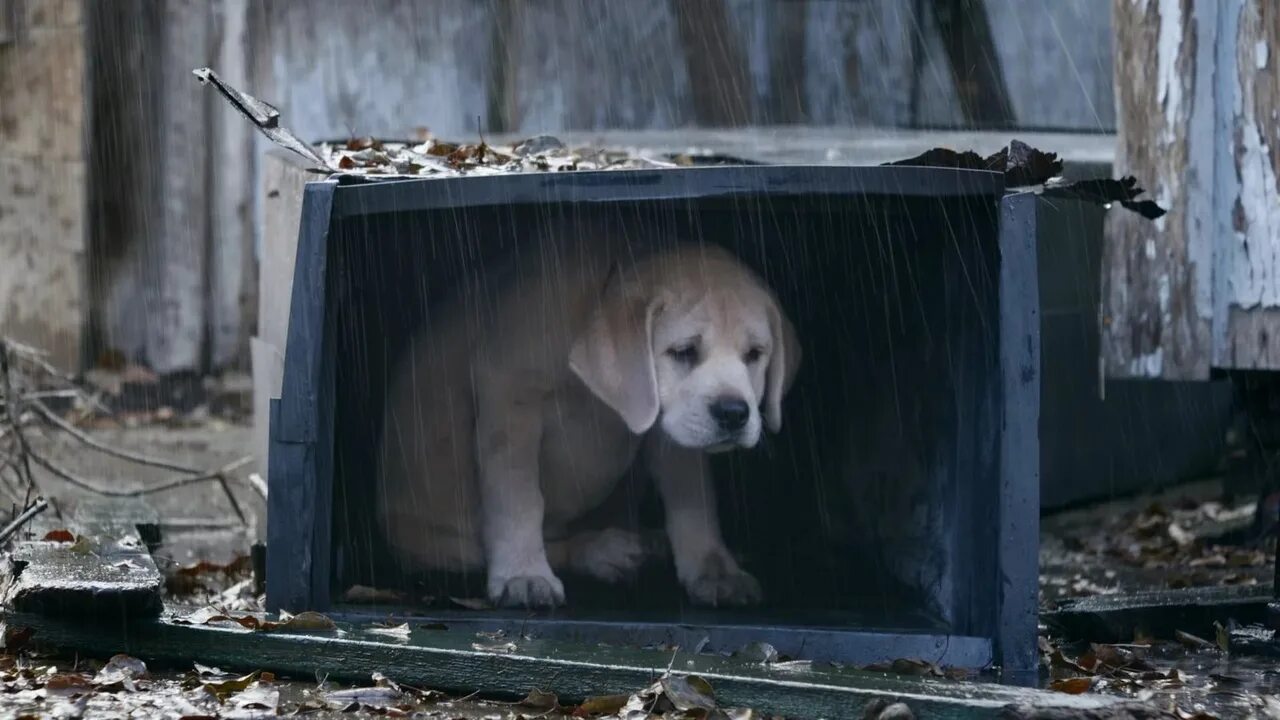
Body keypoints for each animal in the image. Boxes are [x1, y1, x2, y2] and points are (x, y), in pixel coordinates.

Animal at [376, 228, 798, 604]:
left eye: (755, 354)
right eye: (683, 352)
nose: (733, 413)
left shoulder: (672, 427)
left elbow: (693, 497)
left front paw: (715, 570)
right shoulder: (510, 402)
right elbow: (518, 497)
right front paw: (523, 574)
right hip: (434, 540)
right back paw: (600, 550)